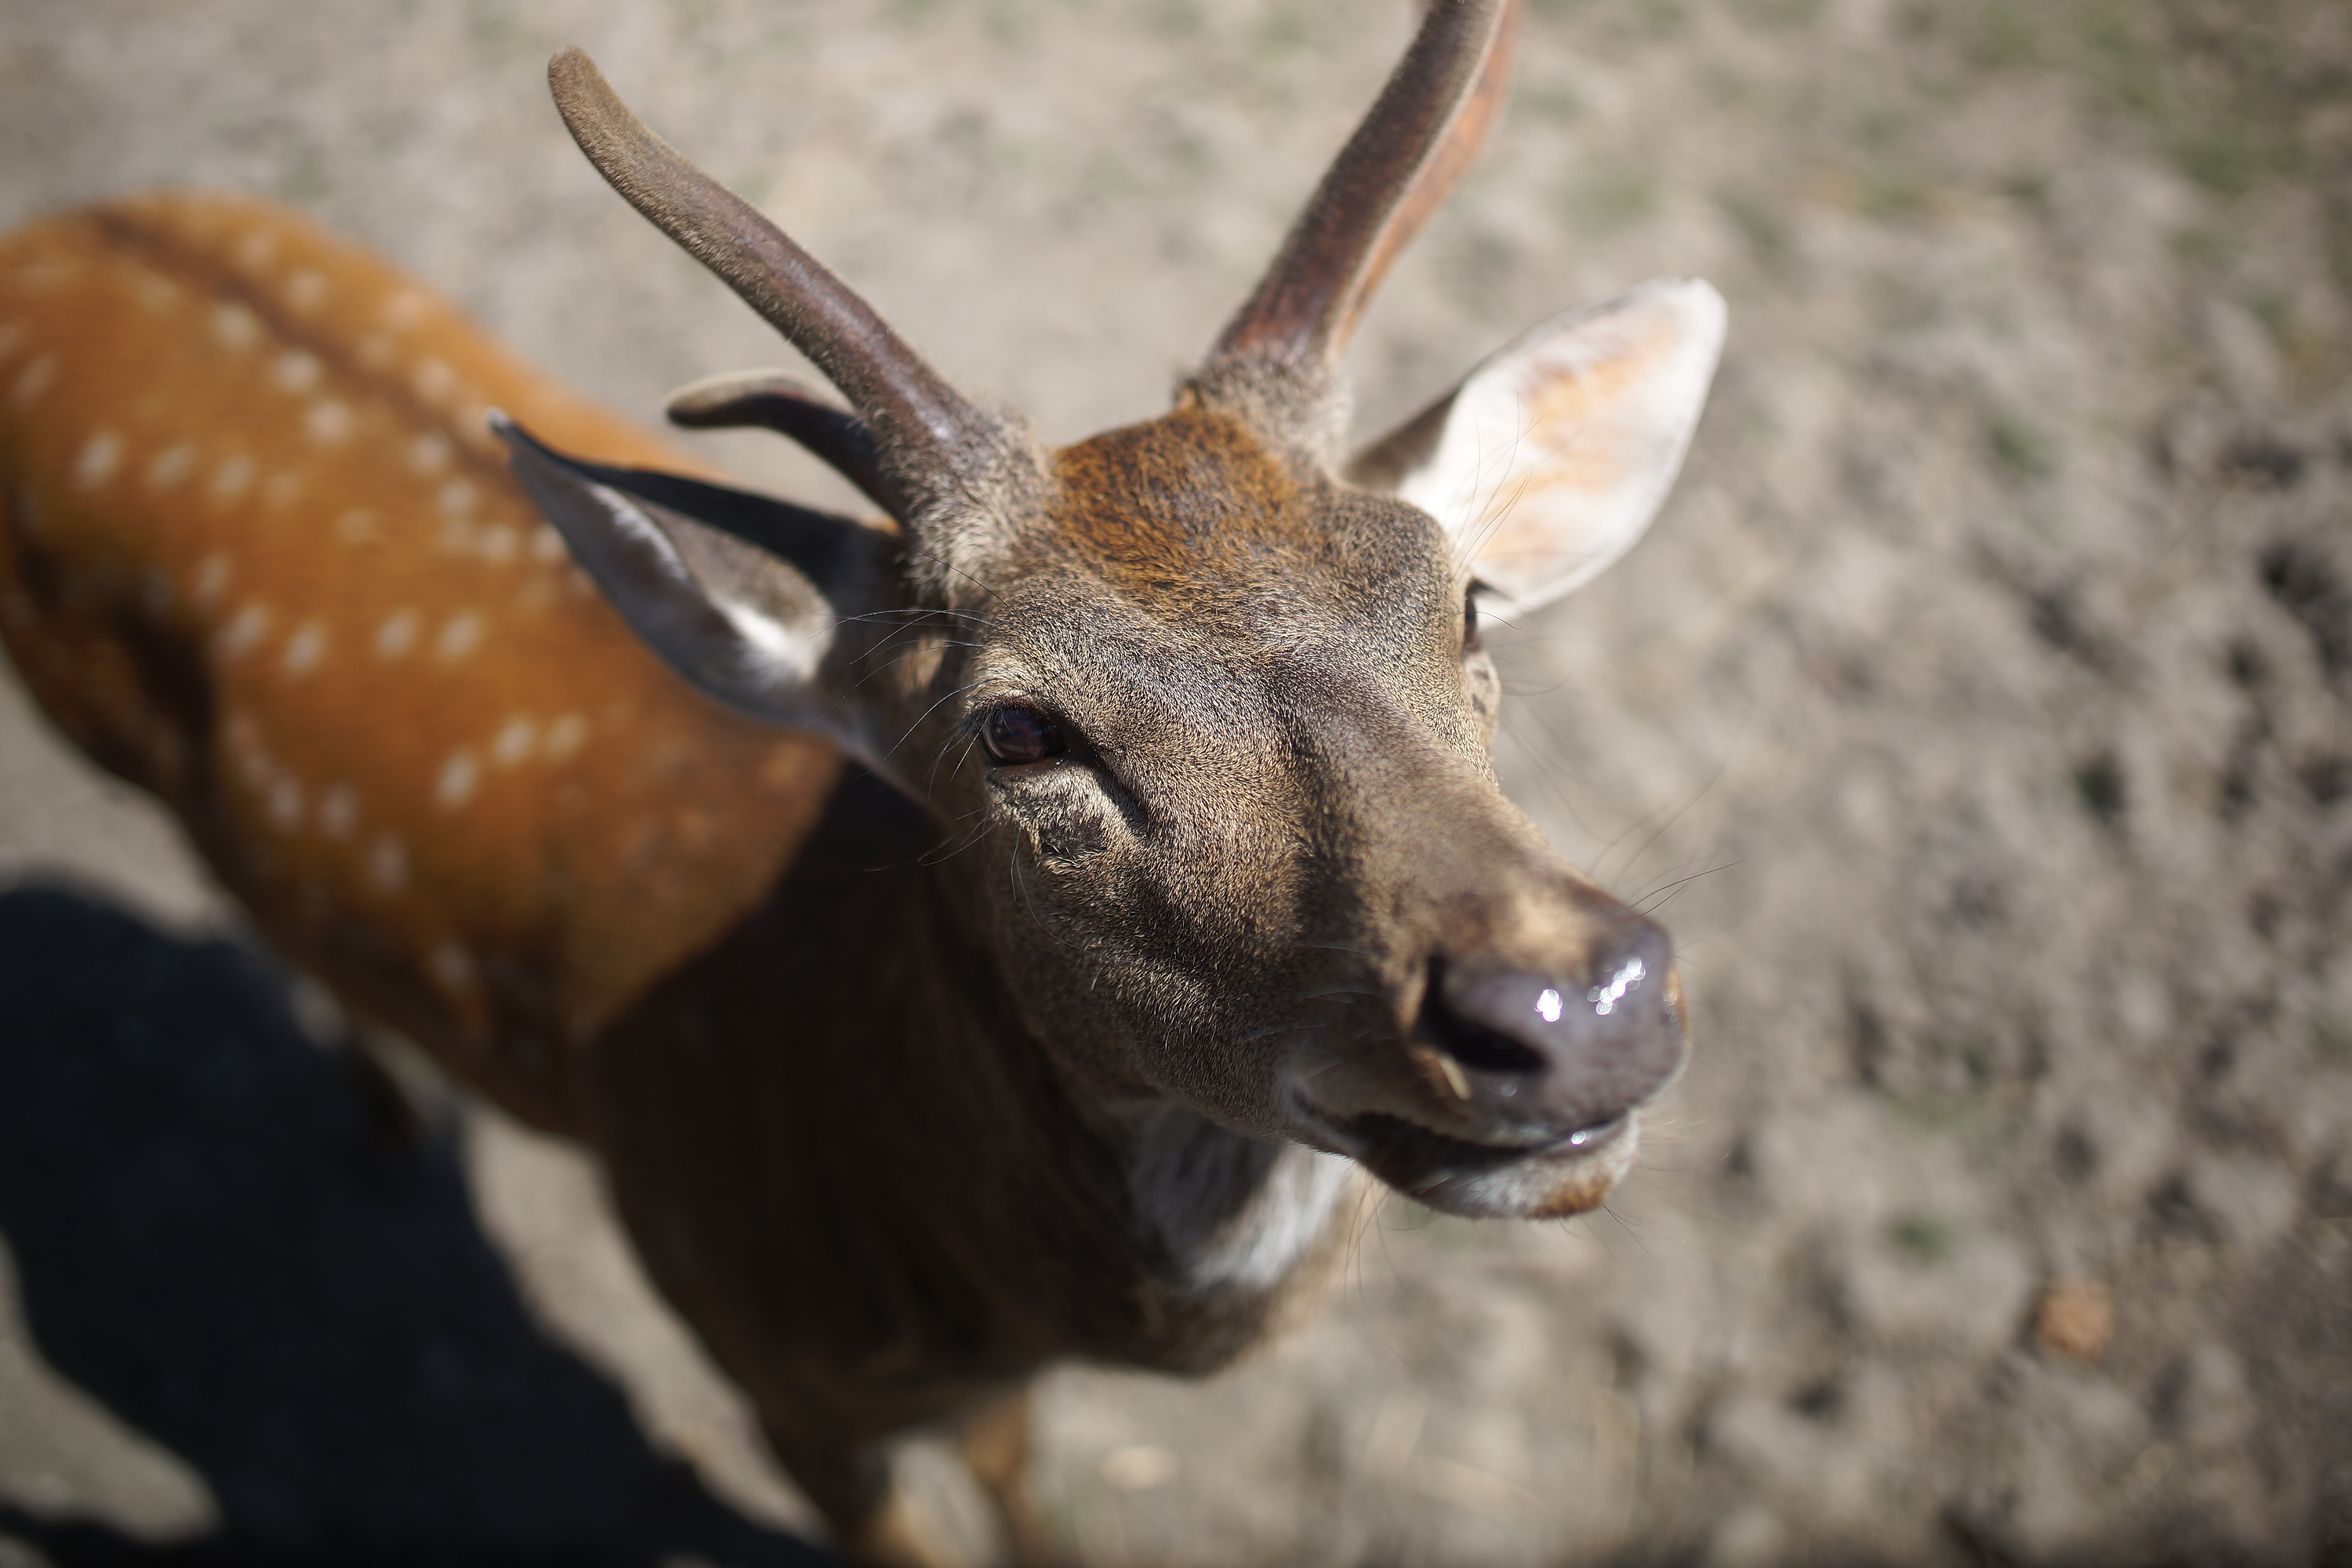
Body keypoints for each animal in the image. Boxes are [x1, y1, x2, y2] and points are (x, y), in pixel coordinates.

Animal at [4, 5, 1731, 1561]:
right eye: (1018, 731)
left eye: (1464, 597)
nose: (1576, 1003)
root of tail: (54, 230)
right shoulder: (759, 1359)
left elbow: (1020, 1478)